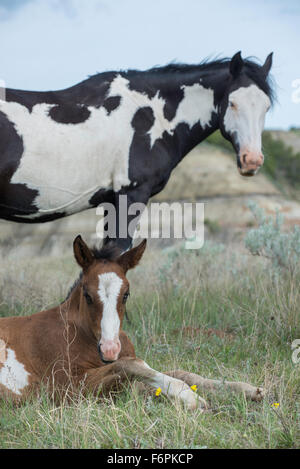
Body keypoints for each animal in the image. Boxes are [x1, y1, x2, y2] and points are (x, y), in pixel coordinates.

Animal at [0, 51, 274, 250]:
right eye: (233, 103)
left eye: (267, 106)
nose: (252, 160)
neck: (149, 112)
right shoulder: (131, 195)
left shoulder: (110, 201)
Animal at [0, 236, 262, 408]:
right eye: (87, 294)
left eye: (126, 293)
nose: (110, 349)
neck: (80, 335)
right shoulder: (66, 388)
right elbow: (131, 365)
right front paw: (191, 398)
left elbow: (182, 372)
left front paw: (248, 389)